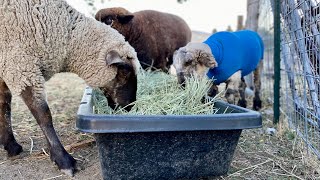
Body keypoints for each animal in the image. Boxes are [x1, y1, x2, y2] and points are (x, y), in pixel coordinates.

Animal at [0, 0, 140, 176]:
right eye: (125, 71)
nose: (130, 107)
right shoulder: (20, 64)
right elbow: (43, 114)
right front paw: (63, 160)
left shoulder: (8, 65)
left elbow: (4, 104)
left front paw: (10, 145)